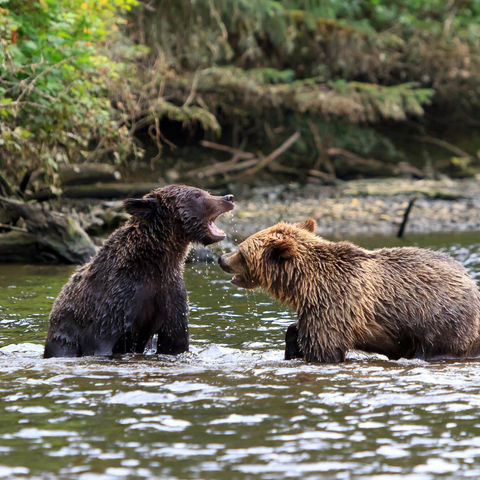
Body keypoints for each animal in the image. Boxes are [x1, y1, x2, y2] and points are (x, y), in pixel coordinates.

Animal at [44, 186, 235, 358]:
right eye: (197, 194)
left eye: (204, 191)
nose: (229, 197)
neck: (155, 263)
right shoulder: (117, 298)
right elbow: (102, 340)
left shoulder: (170, 293)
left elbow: (175, 340)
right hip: (66, 332)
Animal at [219, 219, 480, 362]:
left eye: (241, 250)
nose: (222, 259)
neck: (306, 284)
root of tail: (470, 281)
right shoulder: (317, 308)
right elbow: (300, 330)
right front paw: (292, 343)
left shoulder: (338, 302)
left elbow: (324, 346)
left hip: (442, 321)